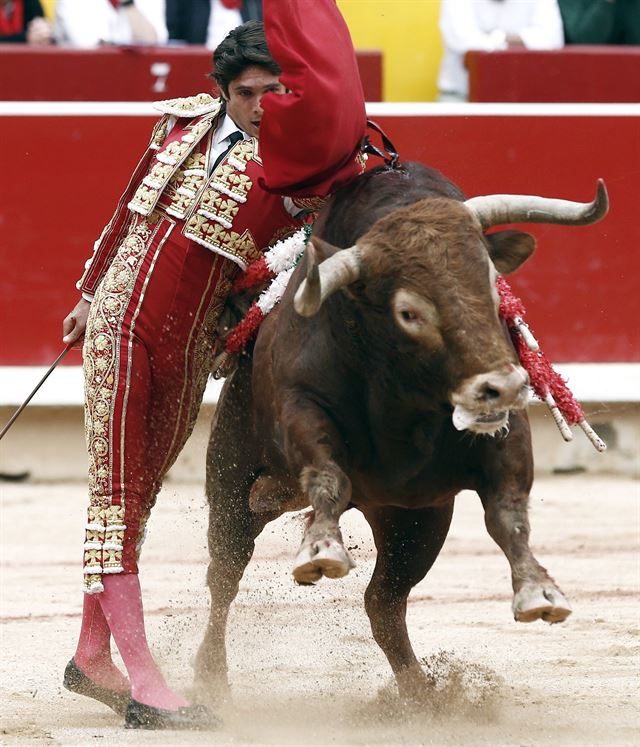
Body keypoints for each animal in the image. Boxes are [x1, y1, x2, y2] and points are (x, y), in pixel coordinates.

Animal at [196, 162, 608, 700]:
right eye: (409, 312)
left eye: (493, 287)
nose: (501, 387)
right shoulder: (301, 407)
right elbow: (327, 475)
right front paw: (322, 548)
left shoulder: (502, 437)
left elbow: (507, 510)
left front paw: (539, 590)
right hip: (230, 482)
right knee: (225, 573)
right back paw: (210, 680)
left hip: (412, 523)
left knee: (384, 603)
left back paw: (420, 696)